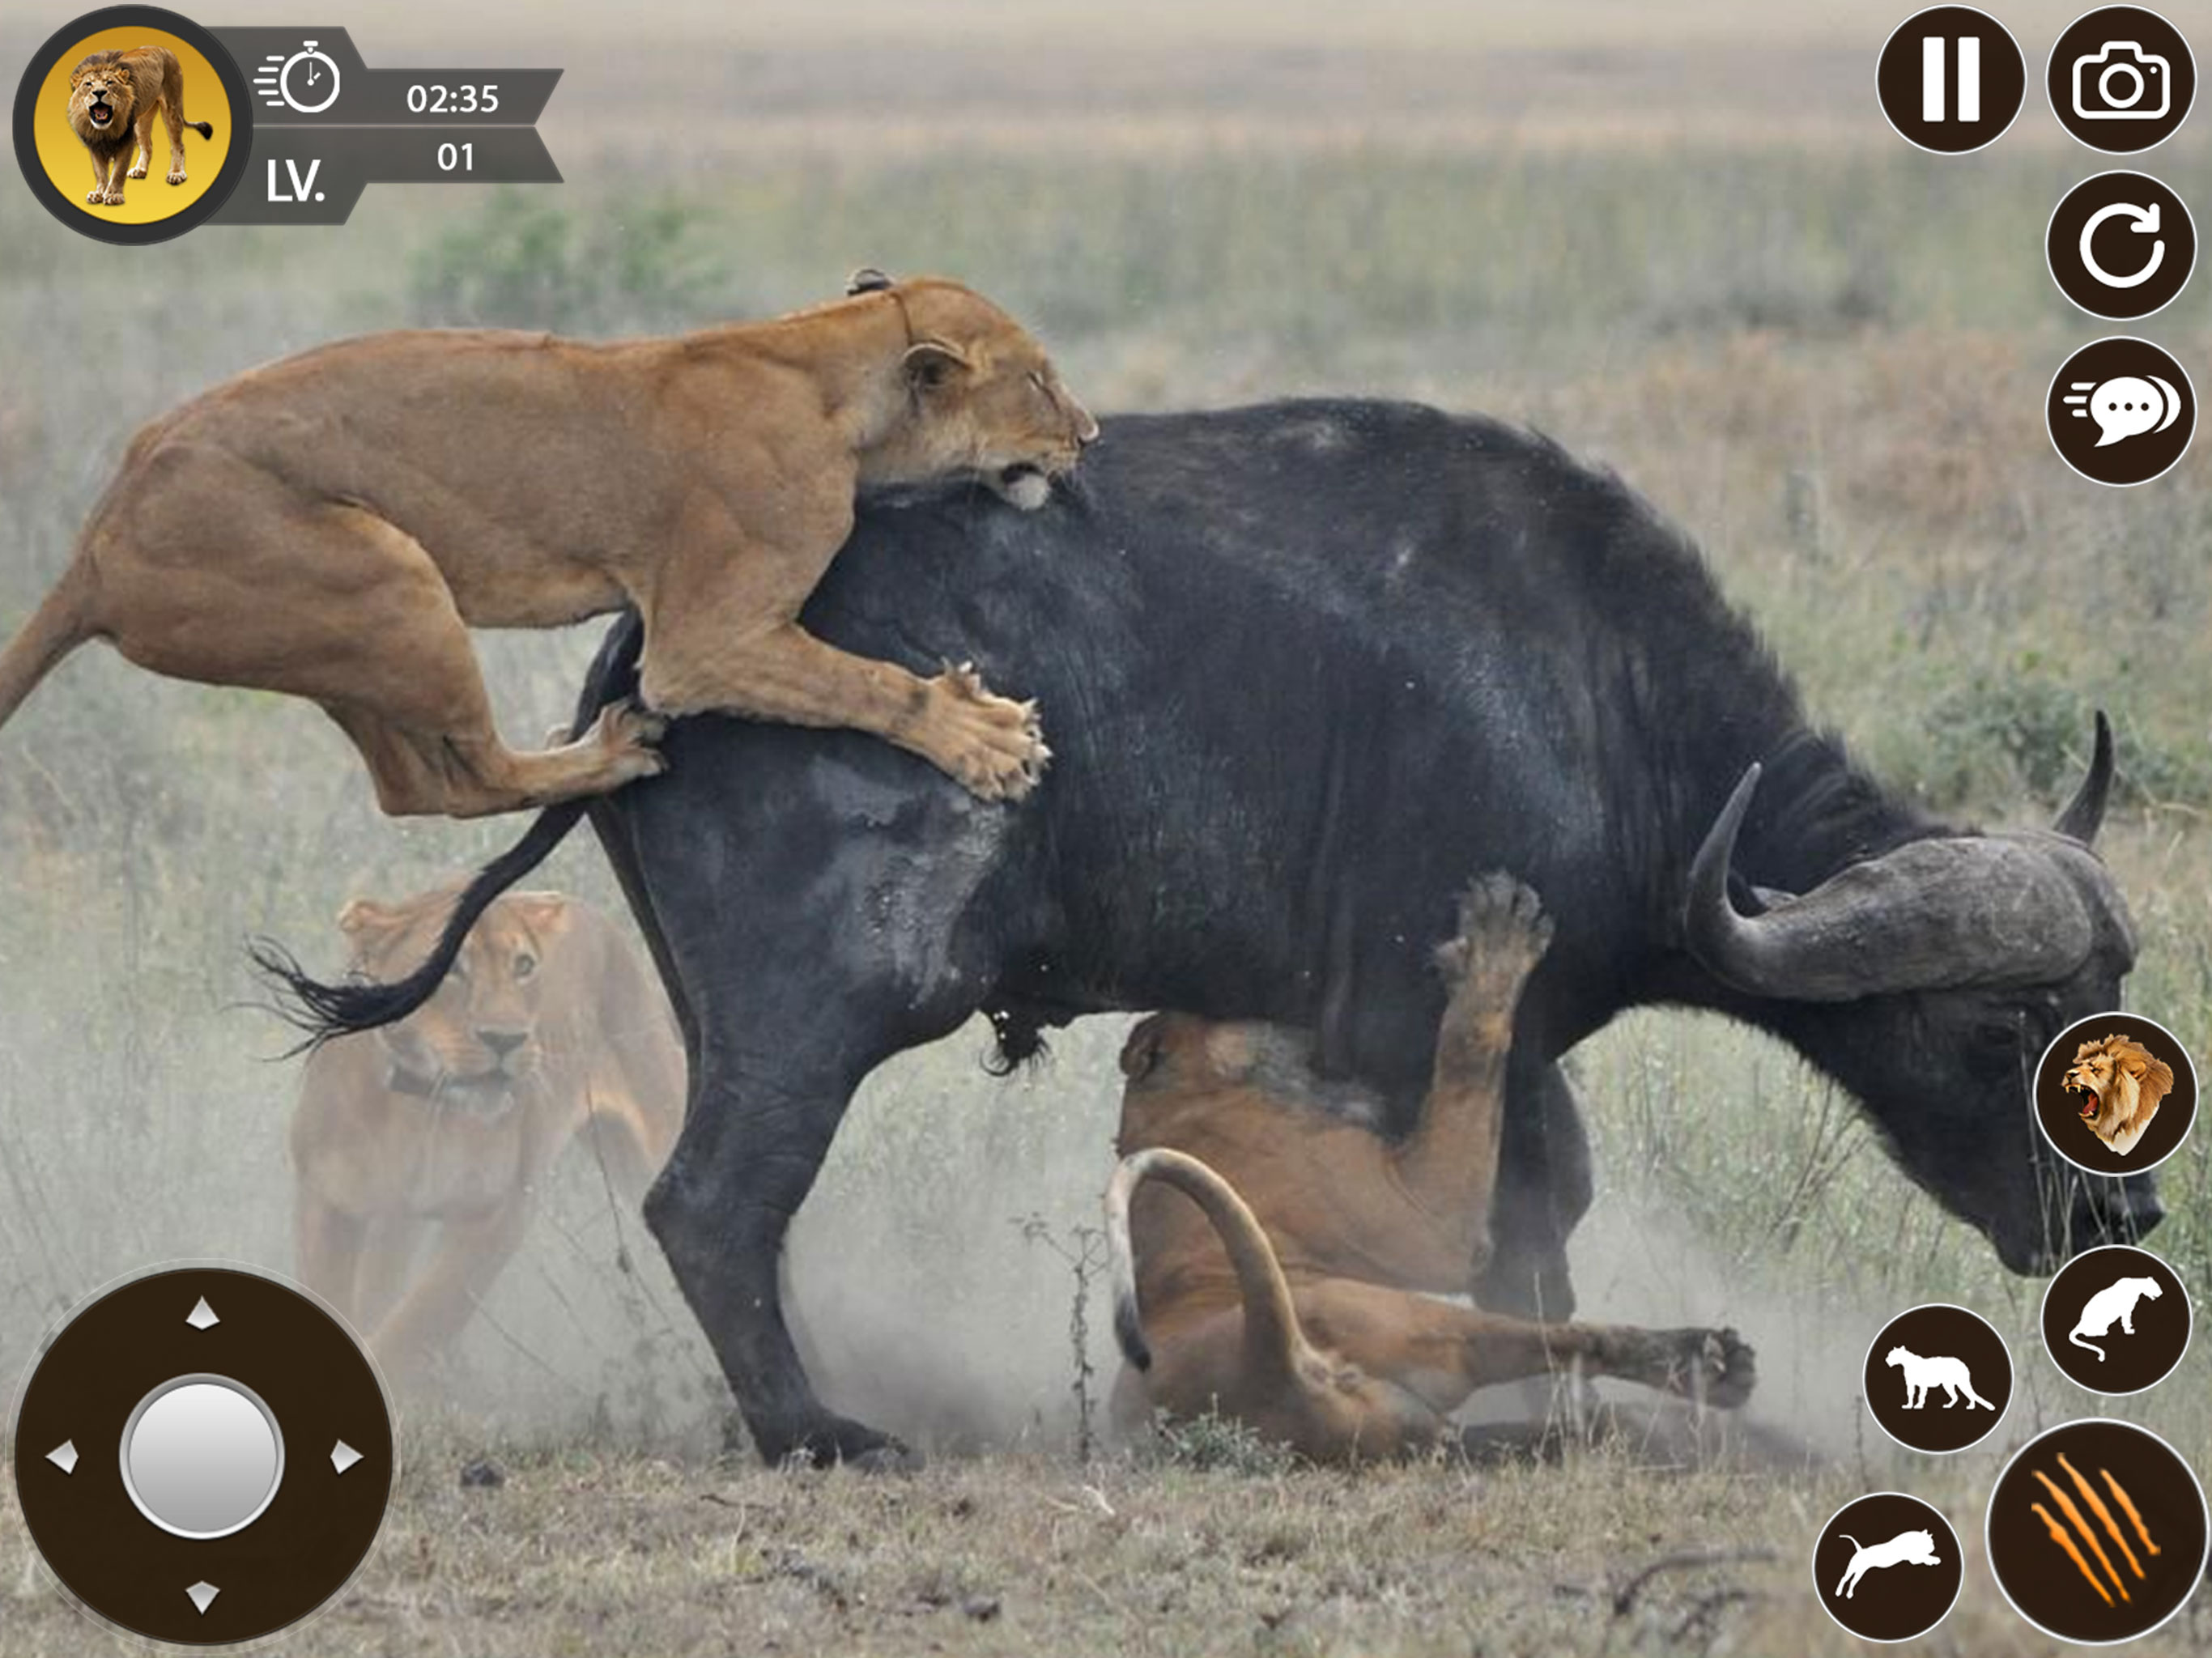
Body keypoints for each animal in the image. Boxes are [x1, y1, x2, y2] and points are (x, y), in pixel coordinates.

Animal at [0, 271, 1094, 816]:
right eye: (1039, 381)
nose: (1088, 434)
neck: (829, 366)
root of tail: (96, 537)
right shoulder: (703, 641)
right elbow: (863, 683)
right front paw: (980, 738)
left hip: (341, 632)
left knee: (416, 791)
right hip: (389, 578)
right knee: (476, 772)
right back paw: (609, 753)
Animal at [66, 46, 212, 207]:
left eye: (110, 82)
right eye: (88, 84)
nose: (99, 92)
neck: (105, 130)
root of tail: (164, 49)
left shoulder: (126, 141)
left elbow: (118, 171)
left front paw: (113, 195)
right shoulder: (95, 143)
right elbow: (100, 172)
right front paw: (99, 193)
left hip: (172, 107)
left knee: (177, 145)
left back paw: (176, 173)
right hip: (143, 119)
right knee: (147, 145)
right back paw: (140, 170)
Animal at [290, 885, 683, 1378]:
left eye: (524, 966)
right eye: (452, 968)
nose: (506, 1039)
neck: (424, 1108)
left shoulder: (500, 1212)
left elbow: (418, 1323)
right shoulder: (327, 1198)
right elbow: (332, 1297)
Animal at [1104, 874, 1755, 1464]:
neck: (1186, 1099)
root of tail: (1260, 1369)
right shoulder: (1428, 1219)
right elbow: (1468, 1057)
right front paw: (1494, 939)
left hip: (1427, 1422)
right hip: (1428, 1326)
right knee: (1572, 1339)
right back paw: (1715, 1366)